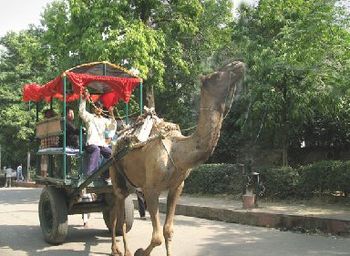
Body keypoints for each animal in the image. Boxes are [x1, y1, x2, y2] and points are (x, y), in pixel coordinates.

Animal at [109, 60, 246, 256]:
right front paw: (140, 251)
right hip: (115, 173)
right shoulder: (150, 189)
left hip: (128, 184)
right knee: (118, 216)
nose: (238, 64)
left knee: (117, 214)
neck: (177, 152)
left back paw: (119, 249)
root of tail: (115, 143)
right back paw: (121, 250)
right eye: (216, 75)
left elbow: (168, 231)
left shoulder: (177, 187)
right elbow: (157, 237)